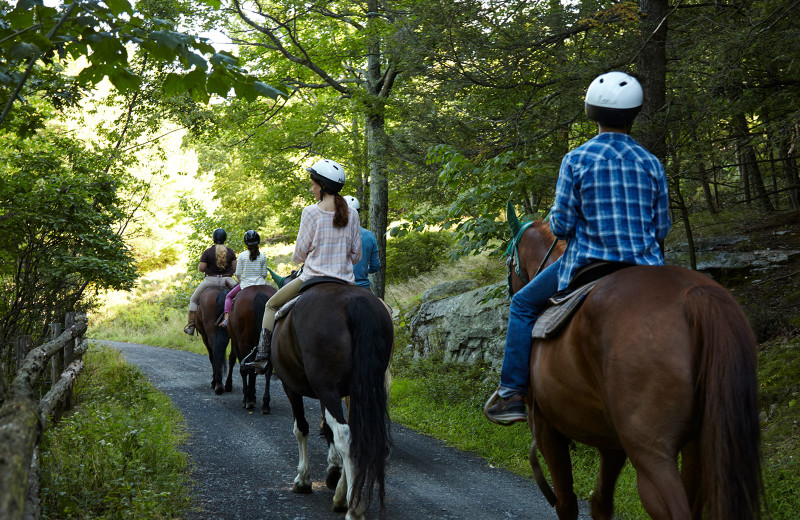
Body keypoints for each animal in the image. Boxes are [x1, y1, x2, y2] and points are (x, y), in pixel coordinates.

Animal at [228, 282, 278, 412]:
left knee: (246, 368)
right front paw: (253, 395)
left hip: (243, 343)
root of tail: (258, 292)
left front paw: (249, 396)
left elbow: (244, 368)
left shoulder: (237, 343)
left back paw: (248, 400)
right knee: (267, 370)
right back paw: (266, 403)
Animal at [272, 284, 394, 520]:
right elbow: (326, 429)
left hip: (326, 388)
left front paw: (303, 479)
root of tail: (354, 300)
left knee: (344, 435)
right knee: (355, 435)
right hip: (357, 388)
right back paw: (345, 497)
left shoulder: (291, 386)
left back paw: (353, 508)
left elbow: (301, 428)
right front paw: (334, 472)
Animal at [506, 213, 764, 516]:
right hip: (699, 446)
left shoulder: (546, 427)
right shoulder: (611, 441)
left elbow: (567, 502)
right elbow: (600, 501)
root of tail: (695, 295)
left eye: (508, 258)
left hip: (651, 451)